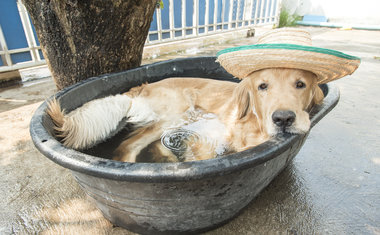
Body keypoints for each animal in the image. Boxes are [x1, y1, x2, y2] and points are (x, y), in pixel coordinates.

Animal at [46, 68, 322, 162]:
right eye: (262, 86)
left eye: (300, 84)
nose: (284, 118)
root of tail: (142, 86)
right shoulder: (208, 138)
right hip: (175, 112)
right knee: (128, 147)